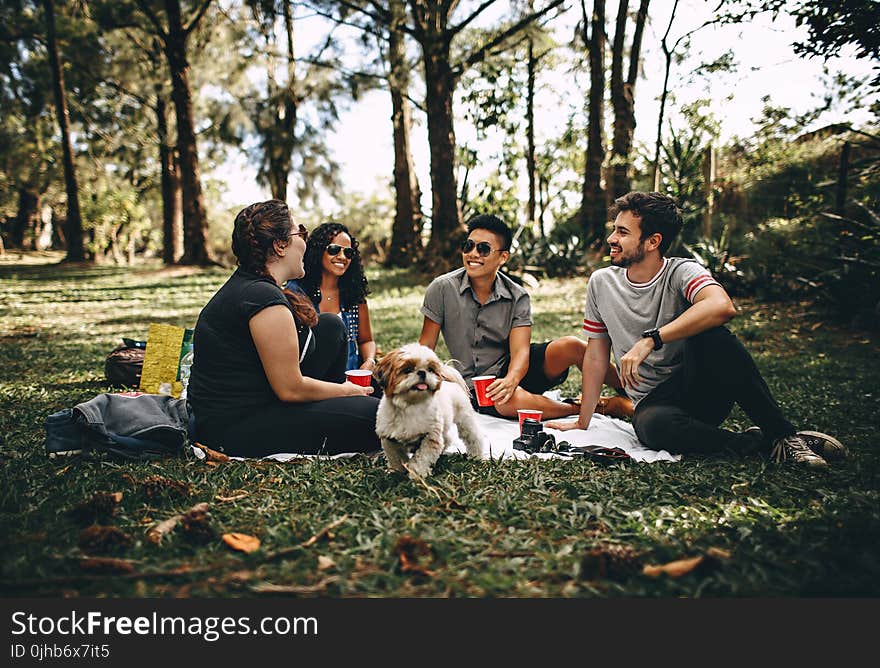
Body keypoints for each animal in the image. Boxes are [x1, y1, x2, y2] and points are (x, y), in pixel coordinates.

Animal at [372, 344, 488, 480]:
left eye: (430, 369)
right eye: (407, 370)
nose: (422, 372)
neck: (410, 405)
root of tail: (450, 381)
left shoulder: (430, 436)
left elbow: (422, 457)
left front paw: (416, 473)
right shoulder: (389, 438)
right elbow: (396, 456)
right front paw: (397, 471)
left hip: (465, 419)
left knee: (473, 437)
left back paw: (476, 455)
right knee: (447, 439)